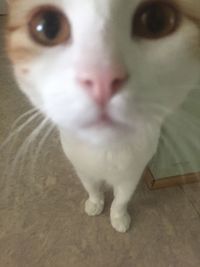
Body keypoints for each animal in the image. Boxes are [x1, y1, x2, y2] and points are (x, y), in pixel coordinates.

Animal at [5, 0, 200, 232]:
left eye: (157, 20)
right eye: (48, 27)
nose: (102, 78)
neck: (105, 152)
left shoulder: (130, 176)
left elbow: (121, 200)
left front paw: (119, 218)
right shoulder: (83, 170)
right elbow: (93, 189)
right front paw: (95, 204)